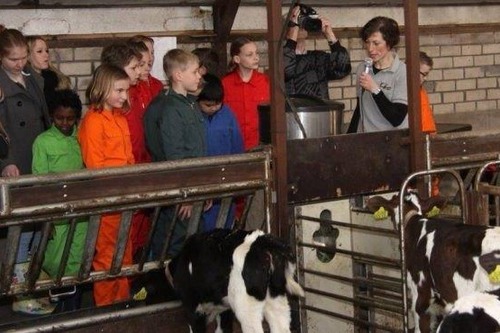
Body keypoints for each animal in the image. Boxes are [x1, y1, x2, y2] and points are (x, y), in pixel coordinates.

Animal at [166, 228, 302, 332]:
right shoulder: (224, 311)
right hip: (276, 297)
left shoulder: (192, 309)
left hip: (247, 307)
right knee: (281, 326)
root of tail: (264, 242)